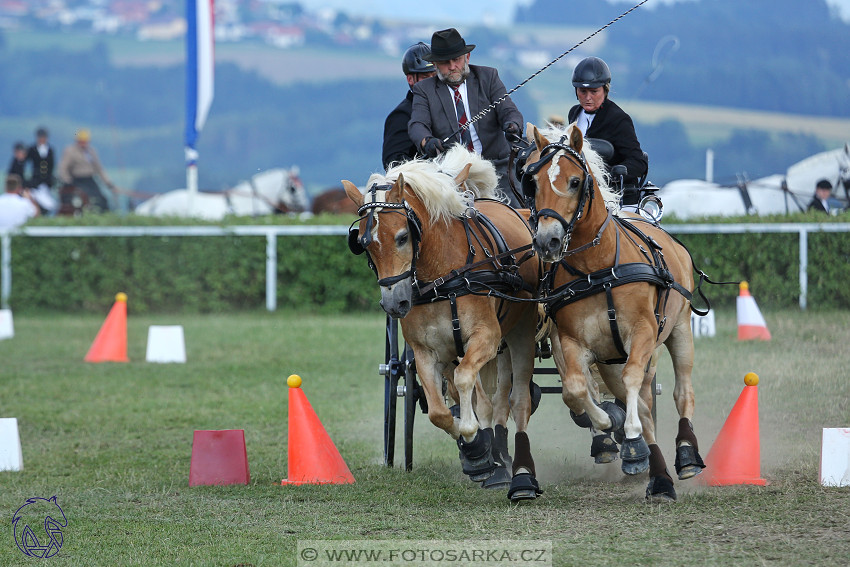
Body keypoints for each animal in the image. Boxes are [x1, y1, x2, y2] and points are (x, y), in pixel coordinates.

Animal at [344, 148, 544, 502]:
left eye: (402, 237)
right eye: (364, 244)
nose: (394, 304)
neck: (442, 275)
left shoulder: (486, 337)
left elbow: (469, 386)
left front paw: (476, 441)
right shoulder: (426, 351)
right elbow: (440, 409)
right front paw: (476, 452)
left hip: (519, 333)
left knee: (517, 399)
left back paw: (519, 472)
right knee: (486, 398)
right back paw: (494, 456)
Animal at [520, 123, 704, 502]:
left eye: (575, 181)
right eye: (534, 182)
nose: (546, 241)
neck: (598, 269)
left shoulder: (643, 333)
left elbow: (634, 383)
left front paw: (627, 429)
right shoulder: (573, 342)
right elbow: (576, 390)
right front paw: (609, 425)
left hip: (678, 330)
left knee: (681, 392)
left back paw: (686, 454)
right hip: (609, 359)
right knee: (642, 402)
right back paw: (655, 472)